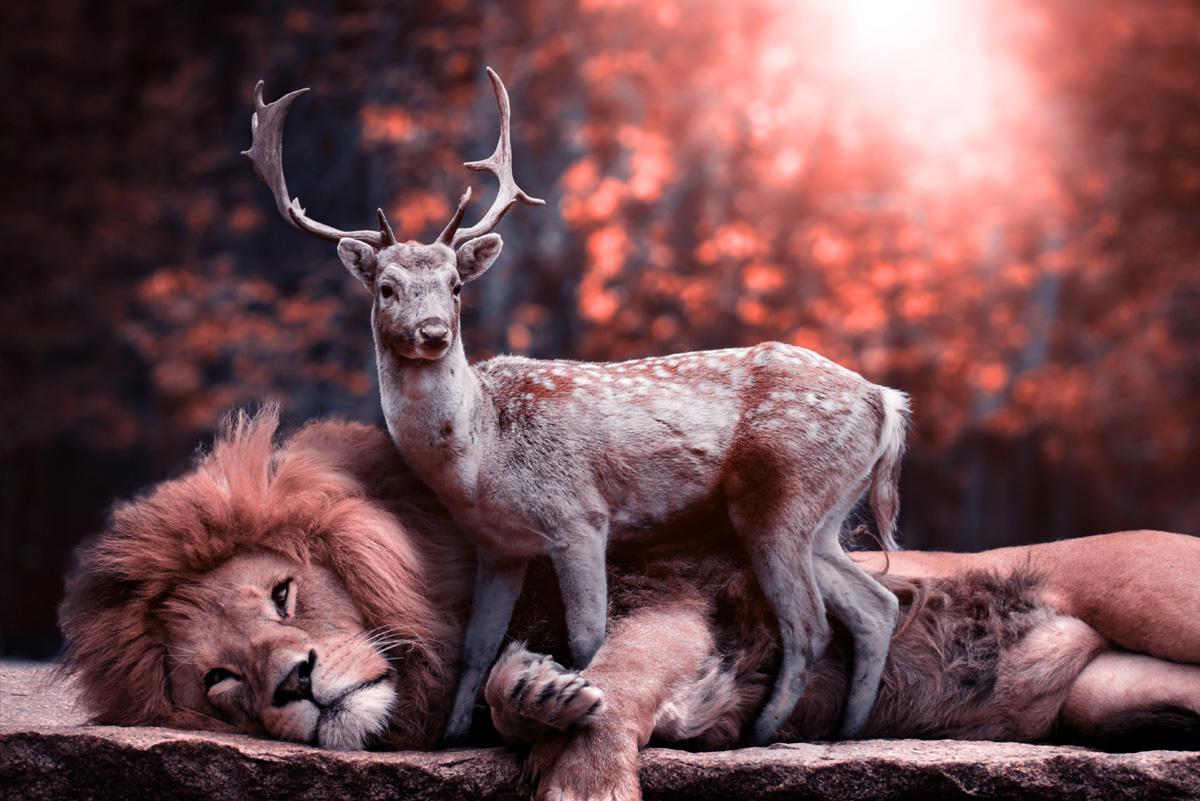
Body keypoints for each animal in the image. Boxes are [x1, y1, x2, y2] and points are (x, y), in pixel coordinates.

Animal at [58, 408, 1200, 798]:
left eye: (285, 591)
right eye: (220, 681)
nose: (293, 681)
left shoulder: (673, 595)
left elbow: (613, 687)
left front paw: (581, 769)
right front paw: (532, 691)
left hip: (1162, 594)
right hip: (1101, 693)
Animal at [243, 68, 909, 747]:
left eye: (455, 285)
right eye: (386, 287)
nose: (433, 333)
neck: (480, 458)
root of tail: (886, 401)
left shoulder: (579, 516)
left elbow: (587, 636)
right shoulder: (498, 545)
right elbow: (476, 646)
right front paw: (454, 734)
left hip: (783, 496)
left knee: (811, 625)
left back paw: (763, 731)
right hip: (824, 515)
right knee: (876, 606)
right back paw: (848, 729)